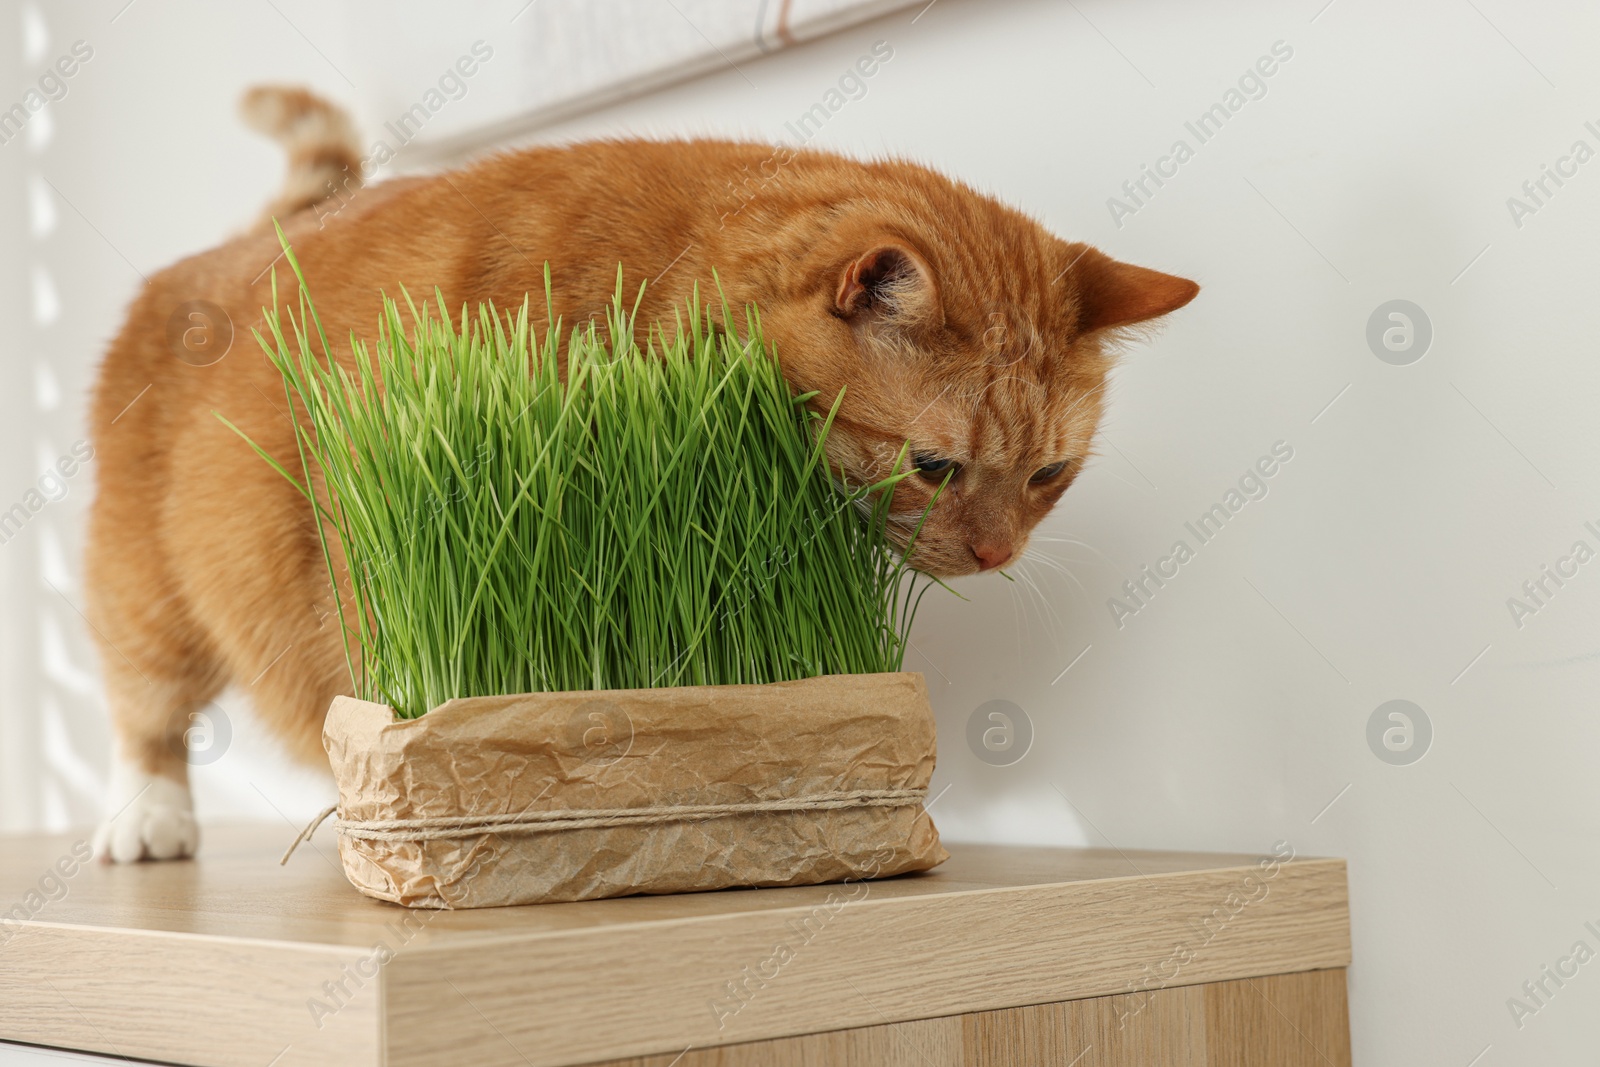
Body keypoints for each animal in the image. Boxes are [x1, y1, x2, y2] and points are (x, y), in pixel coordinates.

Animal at [84, 87, 1190, 863]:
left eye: (1049, 473)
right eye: (933, 465)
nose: (999, 552)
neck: (661, 283)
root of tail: (232, 247)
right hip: (148, 591)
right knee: (144, 710)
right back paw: (147, 820)